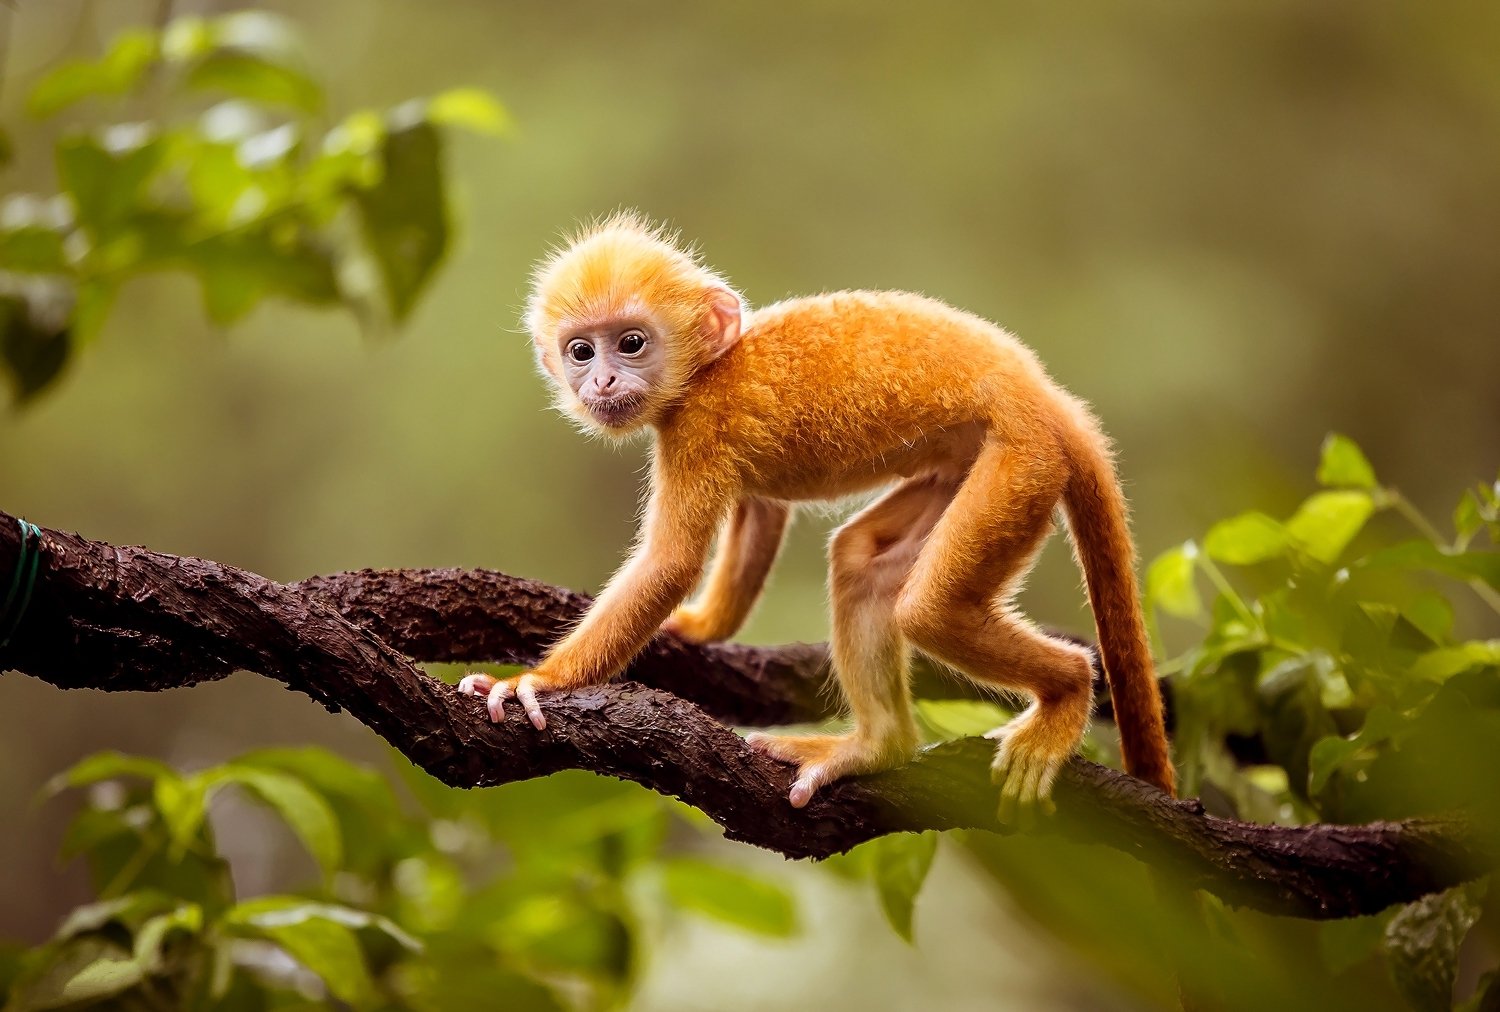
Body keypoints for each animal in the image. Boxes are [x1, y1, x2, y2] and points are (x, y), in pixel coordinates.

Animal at [459, 212, 1175, 815]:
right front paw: (696, 627)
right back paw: (878, 746)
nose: (601, 381)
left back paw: (1067, 691)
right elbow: (760, 511)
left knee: (930, 610)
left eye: (630, 343)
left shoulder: (700, 427)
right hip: (973, 466)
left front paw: (538, 682)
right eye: (581, 351)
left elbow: (670, 563)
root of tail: (1046, 397)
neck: (708, 368)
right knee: (863, 563)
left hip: (1022, 462)